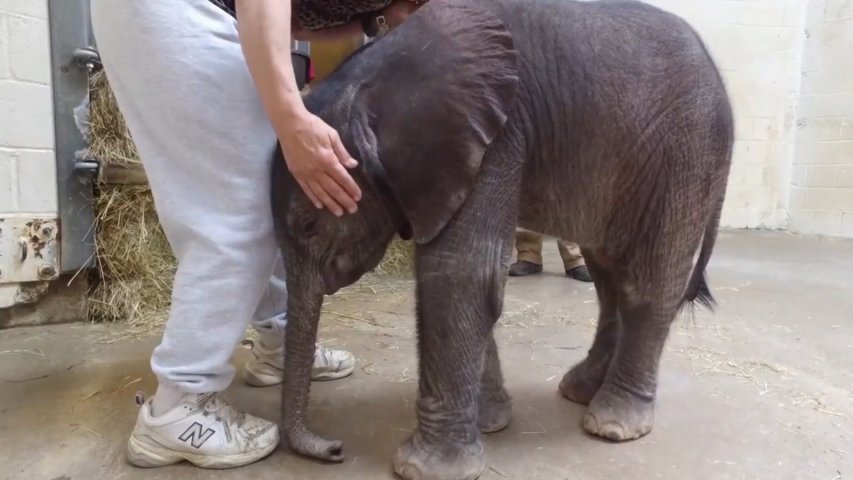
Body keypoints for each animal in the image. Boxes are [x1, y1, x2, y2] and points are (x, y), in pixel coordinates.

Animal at [270, 0, 734, 478]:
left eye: (308, 225)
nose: (335, 449)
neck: (375, 81)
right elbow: (462, 275)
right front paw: (489, 423)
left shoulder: (495, 136)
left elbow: (461, 273)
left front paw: (425, 469)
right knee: (609, 278)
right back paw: (581, 390)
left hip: (687, 153)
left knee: (648, 280)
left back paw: (614, 424)